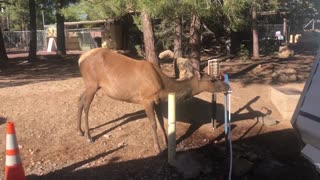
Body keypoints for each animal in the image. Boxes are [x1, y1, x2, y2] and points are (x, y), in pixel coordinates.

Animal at [76, 47, 229, 153]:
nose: (227, 85)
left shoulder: (157, 101)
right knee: (87, 106)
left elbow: (161, 122)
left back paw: (80, 131)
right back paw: (89, 136)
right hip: (92, 83)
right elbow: (154, 123)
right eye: (212, 79)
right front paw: (158, 148)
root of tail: (80, 59)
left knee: (80, 99)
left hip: (90, 85)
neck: (164, 88)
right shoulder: (146, 99)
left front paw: (167, 143)